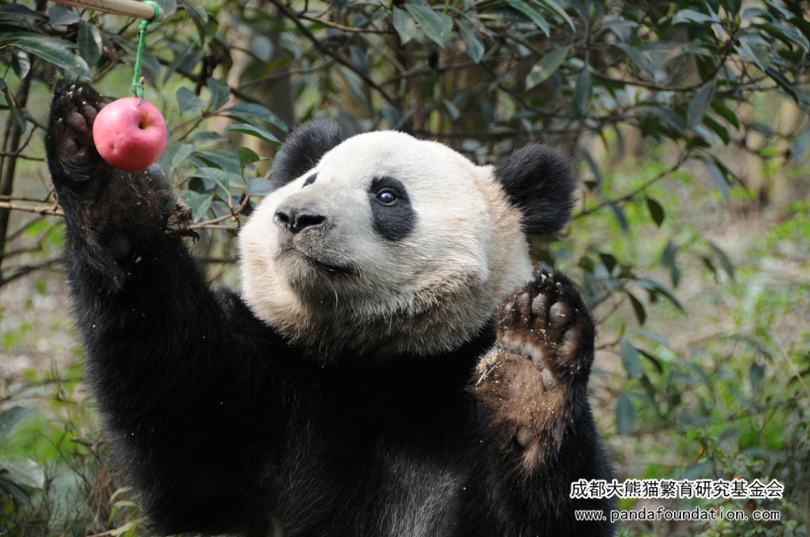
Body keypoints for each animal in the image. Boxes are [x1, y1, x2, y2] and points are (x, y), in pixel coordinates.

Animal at [44, 79, 614, 537]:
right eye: (311, 180)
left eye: (387, 195)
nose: (296, 217)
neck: (376, 358)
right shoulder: (268, 382)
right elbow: (176, 401)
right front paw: (109, 189)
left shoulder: (453, 401)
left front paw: (531, 371)